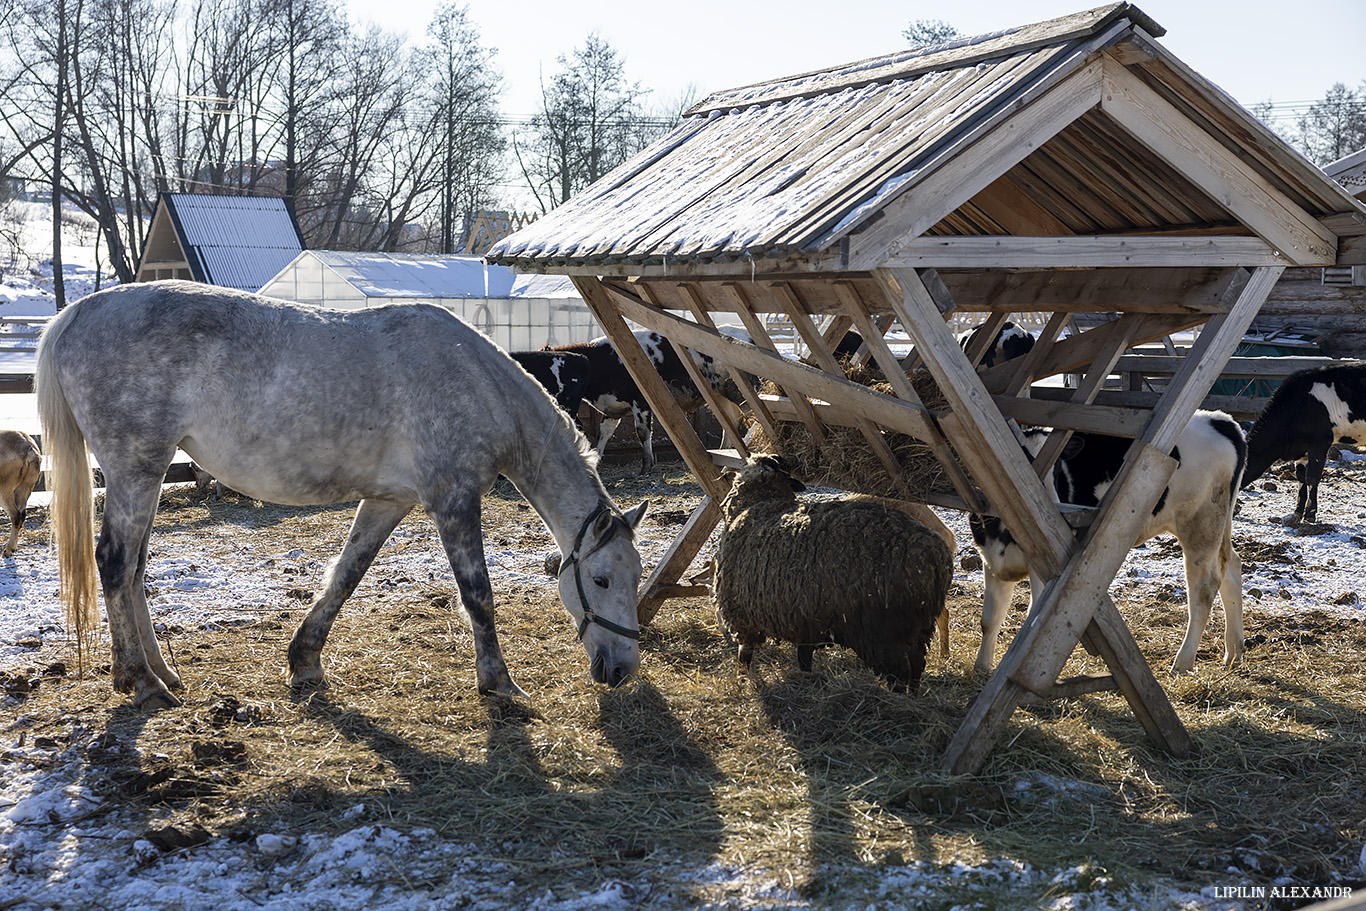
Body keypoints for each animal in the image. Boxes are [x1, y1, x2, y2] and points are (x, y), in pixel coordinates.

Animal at [37, 281, 644, 710]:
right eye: (601, 579)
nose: (623, 669)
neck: (475, 381)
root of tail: (75, 314)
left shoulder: (388, 500)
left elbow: (346, 574)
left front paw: (304, 661)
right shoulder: (453, 497)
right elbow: (477, 593)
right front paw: (499, 682)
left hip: (149, 473)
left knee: (136, 569)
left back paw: (162, 672)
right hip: (136, 468)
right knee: (116, 563)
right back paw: (139, 682)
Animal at [715, 453, 950, 693]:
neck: (760, 505)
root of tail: (935, 553)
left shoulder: (742, 615)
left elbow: (744, 656)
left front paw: (743, 681)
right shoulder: (803, 619)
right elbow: (804, 658)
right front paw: (807, 680)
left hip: (886, 630)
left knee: (900, 672)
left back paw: (895, 698)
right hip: (920, 624)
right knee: (917, 663)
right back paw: (913, 694)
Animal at [972, 412, 1251, 677]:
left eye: (1058, 470)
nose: (1054, 514)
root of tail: (1222, 420)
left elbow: (1032, 615)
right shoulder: (989, 558)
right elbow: (989, 620)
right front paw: (981, 667)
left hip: (1201, 525)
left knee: (1204, 587)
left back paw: (1183, 662)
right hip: (1219, 525)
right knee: (1231, 567)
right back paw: (1234, 652)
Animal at [1245, 360, 1366, 524]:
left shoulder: (1320, 442)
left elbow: (1312, 478)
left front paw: (1310, 514)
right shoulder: (1301, 450)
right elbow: (1301, 477)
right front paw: (1297, 512)